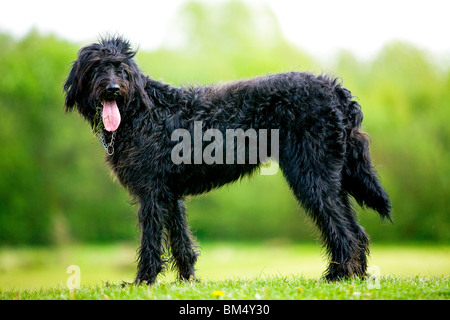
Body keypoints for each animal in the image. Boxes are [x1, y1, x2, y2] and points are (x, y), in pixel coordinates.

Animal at [63, 36, 390, 284]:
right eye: (96, 67)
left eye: (121, 68)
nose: (112, 89)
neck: (143, 111)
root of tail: (336, 90)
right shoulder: (170, 194)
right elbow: (181, 242)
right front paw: (187, 281)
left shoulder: (152, 194)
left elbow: (151, 242)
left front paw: (143, 281)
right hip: (331, 180)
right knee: (355, 230)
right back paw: (355, 276)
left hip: (312, 176)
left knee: (343, 230)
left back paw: (337, 277)